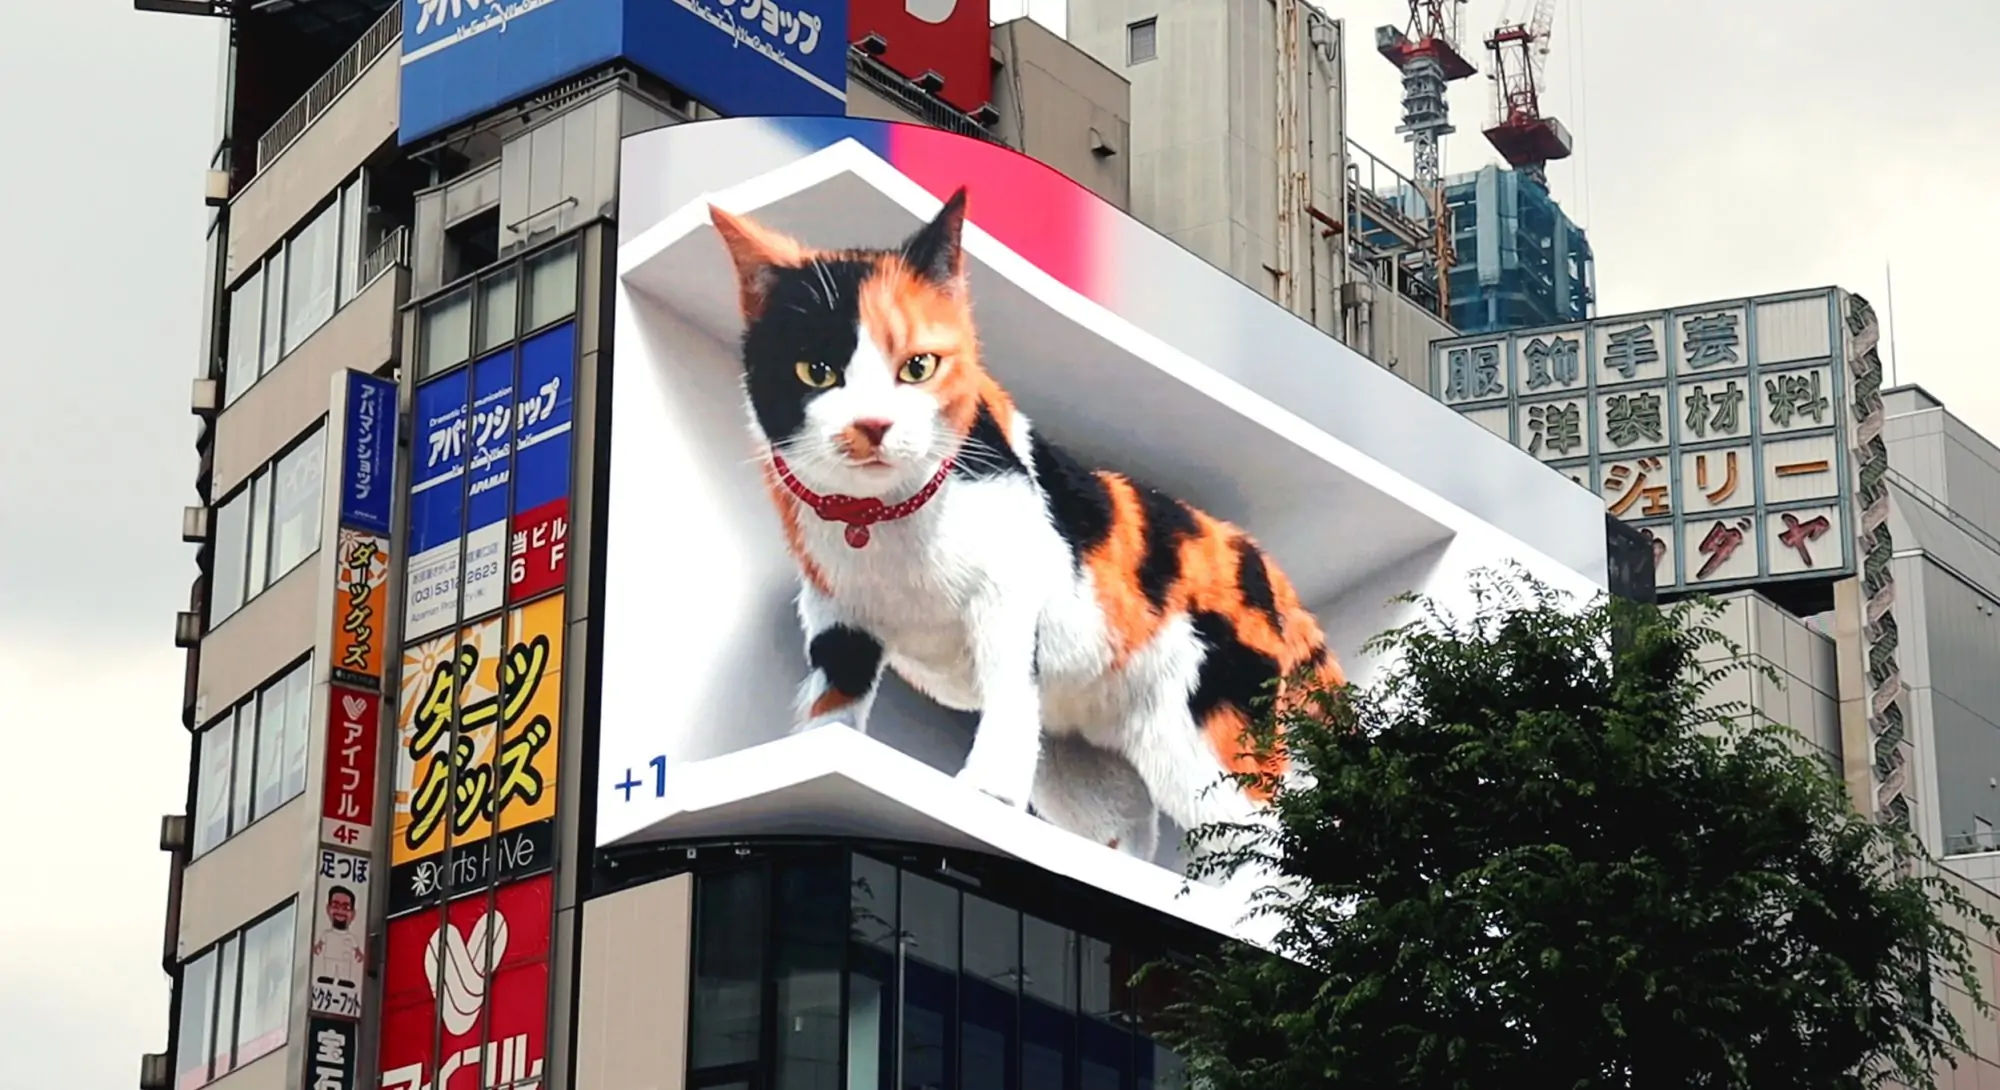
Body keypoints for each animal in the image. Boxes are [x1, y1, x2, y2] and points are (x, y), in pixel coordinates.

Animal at [704, 191, 1344, 864]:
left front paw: (985, 792)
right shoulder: (837, 617)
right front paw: (819, 750)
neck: (882, 523)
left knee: (1273, 842)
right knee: (1126, 832)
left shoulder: (1008, 593)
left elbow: (1007, 687)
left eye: (918, 367)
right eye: (817, 371)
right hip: (1086, 762)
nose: (872, 425)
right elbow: (832, 701)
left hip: (1204, 732)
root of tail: (1263, 565)